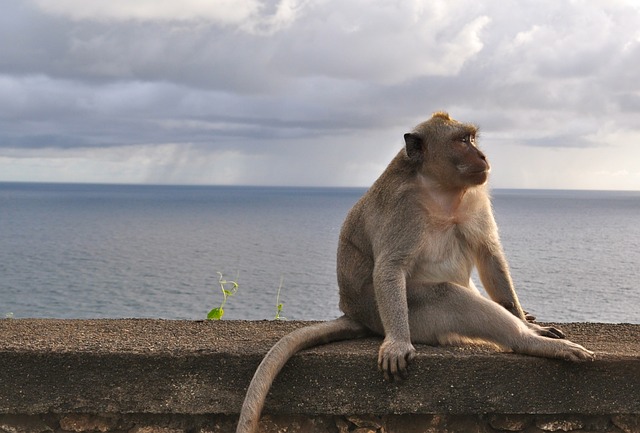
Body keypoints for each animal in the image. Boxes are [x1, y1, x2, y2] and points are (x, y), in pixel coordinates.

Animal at [236, 111, 596, 432]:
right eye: (462, 141)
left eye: (473, 139)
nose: (482, 155)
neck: (440, 189)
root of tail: (353, 311)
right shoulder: (403, 207)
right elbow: (391, 267)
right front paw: (397, 343)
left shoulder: (475, 197)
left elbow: (489, 253)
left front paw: (527, 319)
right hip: (408, 315)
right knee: (447, 295)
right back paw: (528, 342)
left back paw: (529, 329)